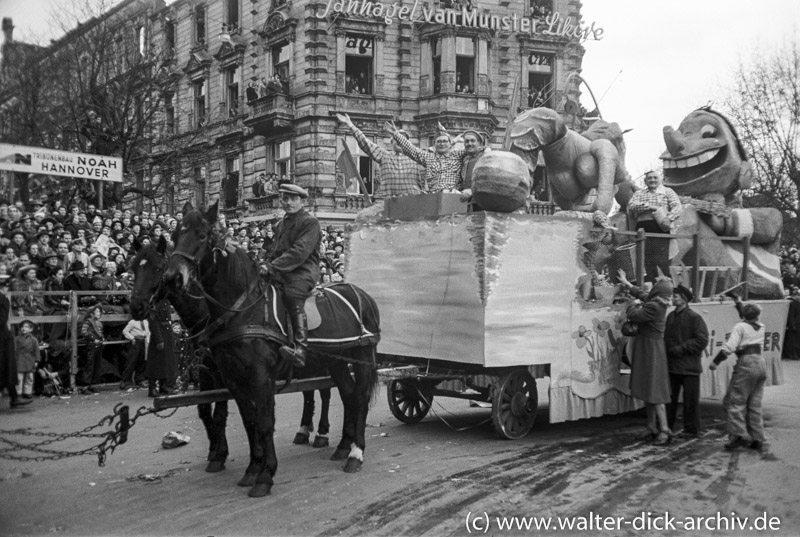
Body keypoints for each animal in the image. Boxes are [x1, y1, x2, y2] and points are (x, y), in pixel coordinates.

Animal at [126, 237, 230, 472]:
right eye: (134, 267)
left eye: (157, 268)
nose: (136, 307)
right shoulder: (204, 367)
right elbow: (204, 408)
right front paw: (215, 449)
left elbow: (220, 409)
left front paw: (220, 454)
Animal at [162, 202, 382, 498]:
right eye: (175, 234)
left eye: (202, 234)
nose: (173, 277)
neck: (243, 309)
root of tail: (362, 293)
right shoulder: (233, 379)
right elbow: (249, 422)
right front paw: (252, 469)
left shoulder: (261, 377)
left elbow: (265, 422)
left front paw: (266, 476)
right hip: (336, 361)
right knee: (348, 395)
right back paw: (343, 447)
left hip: (362, 356)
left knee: (359, 397)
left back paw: (356, 453)